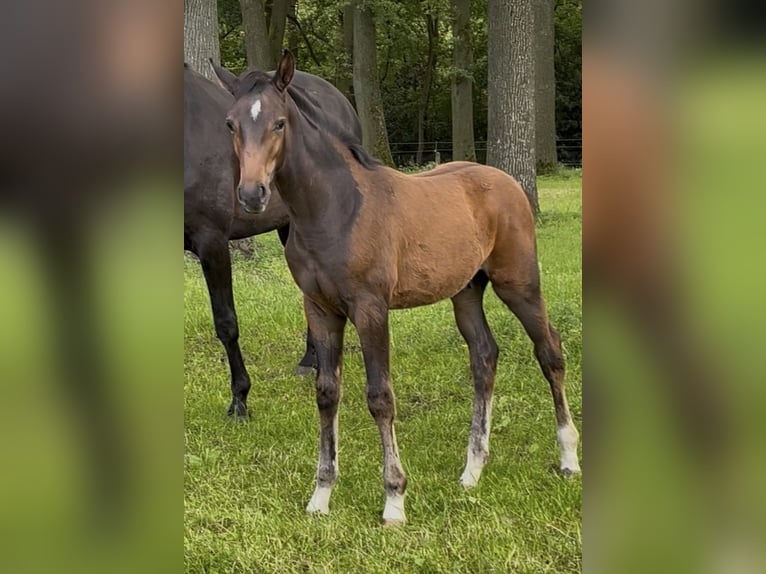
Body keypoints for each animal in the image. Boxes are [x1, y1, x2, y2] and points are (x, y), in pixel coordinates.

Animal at [213, 51, 581, 525]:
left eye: (279, 122)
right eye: (230, 123)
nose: (252, 194)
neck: (334, 208)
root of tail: (504, 181)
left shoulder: (370, 308)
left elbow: (380, 397)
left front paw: (394, 499)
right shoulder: (320, 309)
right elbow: (327, 393)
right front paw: (321, 495)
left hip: (518, 283)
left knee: (549, 351)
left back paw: (568, 458)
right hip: (466, 290)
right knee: (484, 357)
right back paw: (472, 470)